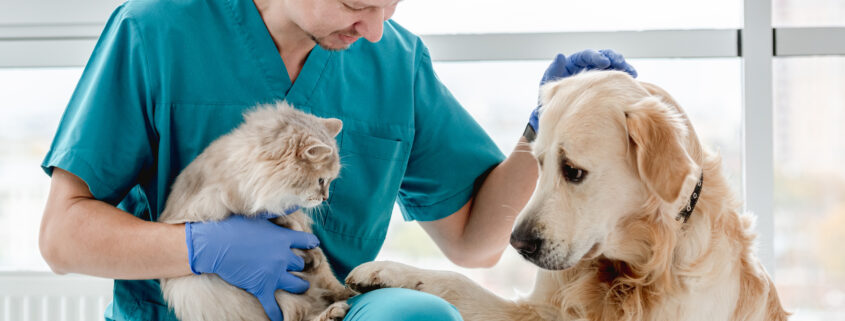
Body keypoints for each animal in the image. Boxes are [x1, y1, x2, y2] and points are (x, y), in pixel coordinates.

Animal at [158, 102, 352, 320]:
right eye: (321, 181)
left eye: (329, 181)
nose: (325, 197)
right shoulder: (211, 204)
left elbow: (311, 249)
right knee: (300, 314)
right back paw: (333, 310)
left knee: (330, 287)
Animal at [342, 70, 784, 320]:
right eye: (538, 163)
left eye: (572, 170)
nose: (518, 244)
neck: (634, 269)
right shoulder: (540, 310)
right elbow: (456, 282)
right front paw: (390, 272)